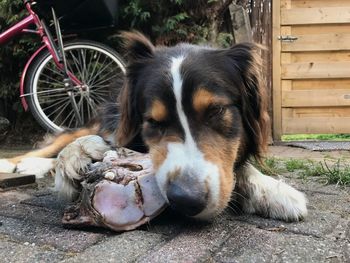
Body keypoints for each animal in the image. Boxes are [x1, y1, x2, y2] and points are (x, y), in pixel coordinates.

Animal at [0, 32, 306, 223]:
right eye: (153, 122)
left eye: (216, 111)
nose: (186, 200)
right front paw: (77, 158)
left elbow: (239, 166)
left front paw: (272, 189)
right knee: (50, 145)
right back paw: (16, 164)